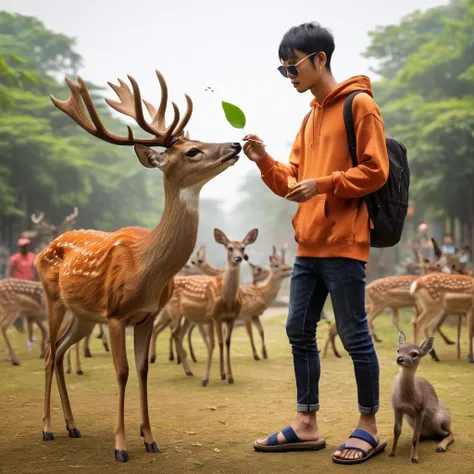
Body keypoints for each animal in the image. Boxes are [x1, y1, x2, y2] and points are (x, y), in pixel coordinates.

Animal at [37, 70, 241, 462]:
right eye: (192, 150)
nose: (236, 144)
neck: (148, 268)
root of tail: (45, 248)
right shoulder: (116, 314)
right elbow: (122, 372)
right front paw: (120, 446)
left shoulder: (146, 315)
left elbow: (144, 370)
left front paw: (150, 438)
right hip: (53, 298)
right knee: (48, 353)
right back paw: (48, 428)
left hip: (84, 316)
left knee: (60, 350)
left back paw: (73, 426)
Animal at [388, 332, 456, 462]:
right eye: (398, 350)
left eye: (414, 354)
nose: (400, 359)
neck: (407, 399)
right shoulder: (396, 407)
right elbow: (397, 431)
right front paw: (392, 453)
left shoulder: (420, 409)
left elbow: (415, 436)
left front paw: (414, 458)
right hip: (411, 420)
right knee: (424, 434)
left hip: (442, 418)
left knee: (450, 433)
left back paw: (441, 446)